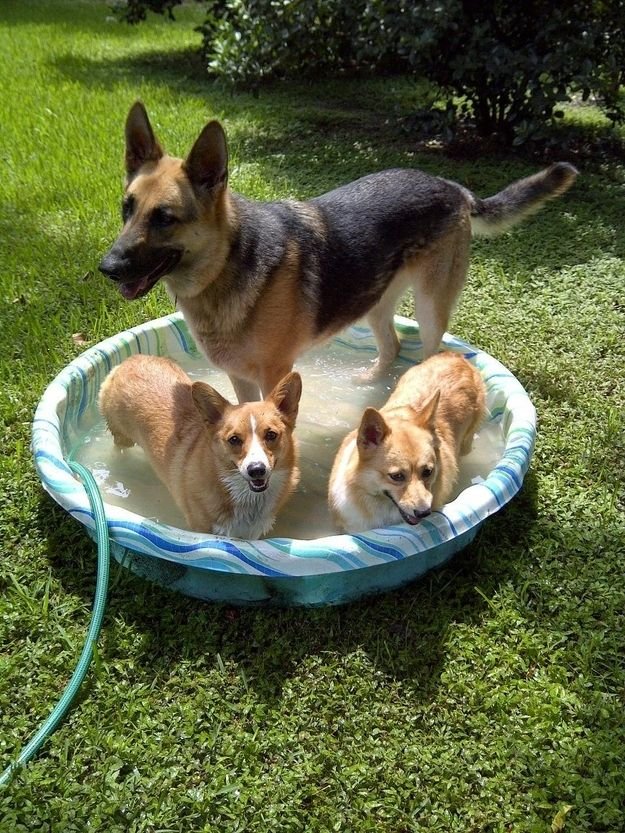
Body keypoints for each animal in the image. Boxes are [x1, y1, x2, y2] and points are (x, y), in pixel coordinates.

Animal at [101, 101, 576, 404]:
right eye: (127, 208)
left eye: (164, 218)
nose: (106, 268)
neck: (225, 267)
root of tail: (452, 186)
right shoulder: (239, 377)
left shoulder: (275, 374)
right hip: (375, 303)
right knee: (391, 345)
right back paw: (371, 384)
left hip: (429, 308)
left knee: (427, 354)